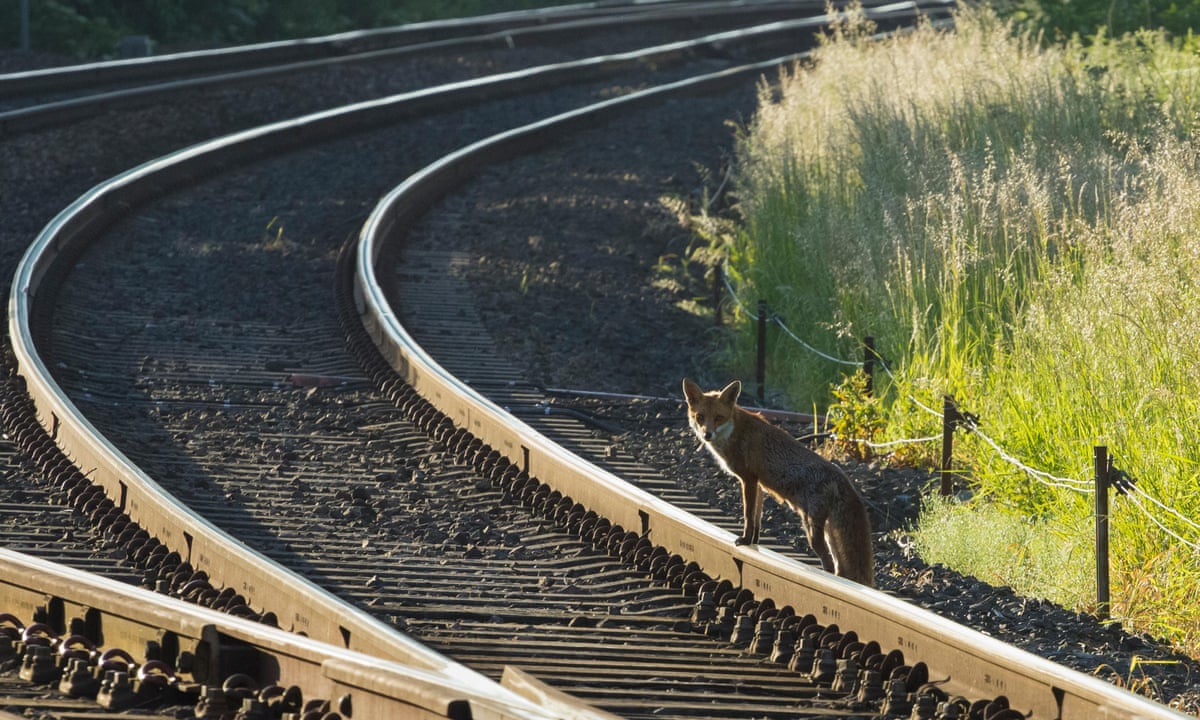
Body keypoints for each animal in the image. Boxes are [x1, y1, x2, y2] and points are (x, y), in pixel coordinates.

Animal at [682, 378, 874, 586]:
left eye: (718, 417)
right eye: (700, 417)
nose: (707, 434)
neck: (735, 431)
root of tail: (842, 478)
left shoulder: (748, 478)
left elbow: (748, 515)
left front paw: (744, 540)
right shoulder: (757, 483)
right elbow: (756, 518)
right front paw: (753, 544)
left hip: (812, 529)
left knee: (829, 563)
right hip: (829, 532)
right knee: (839, 566)